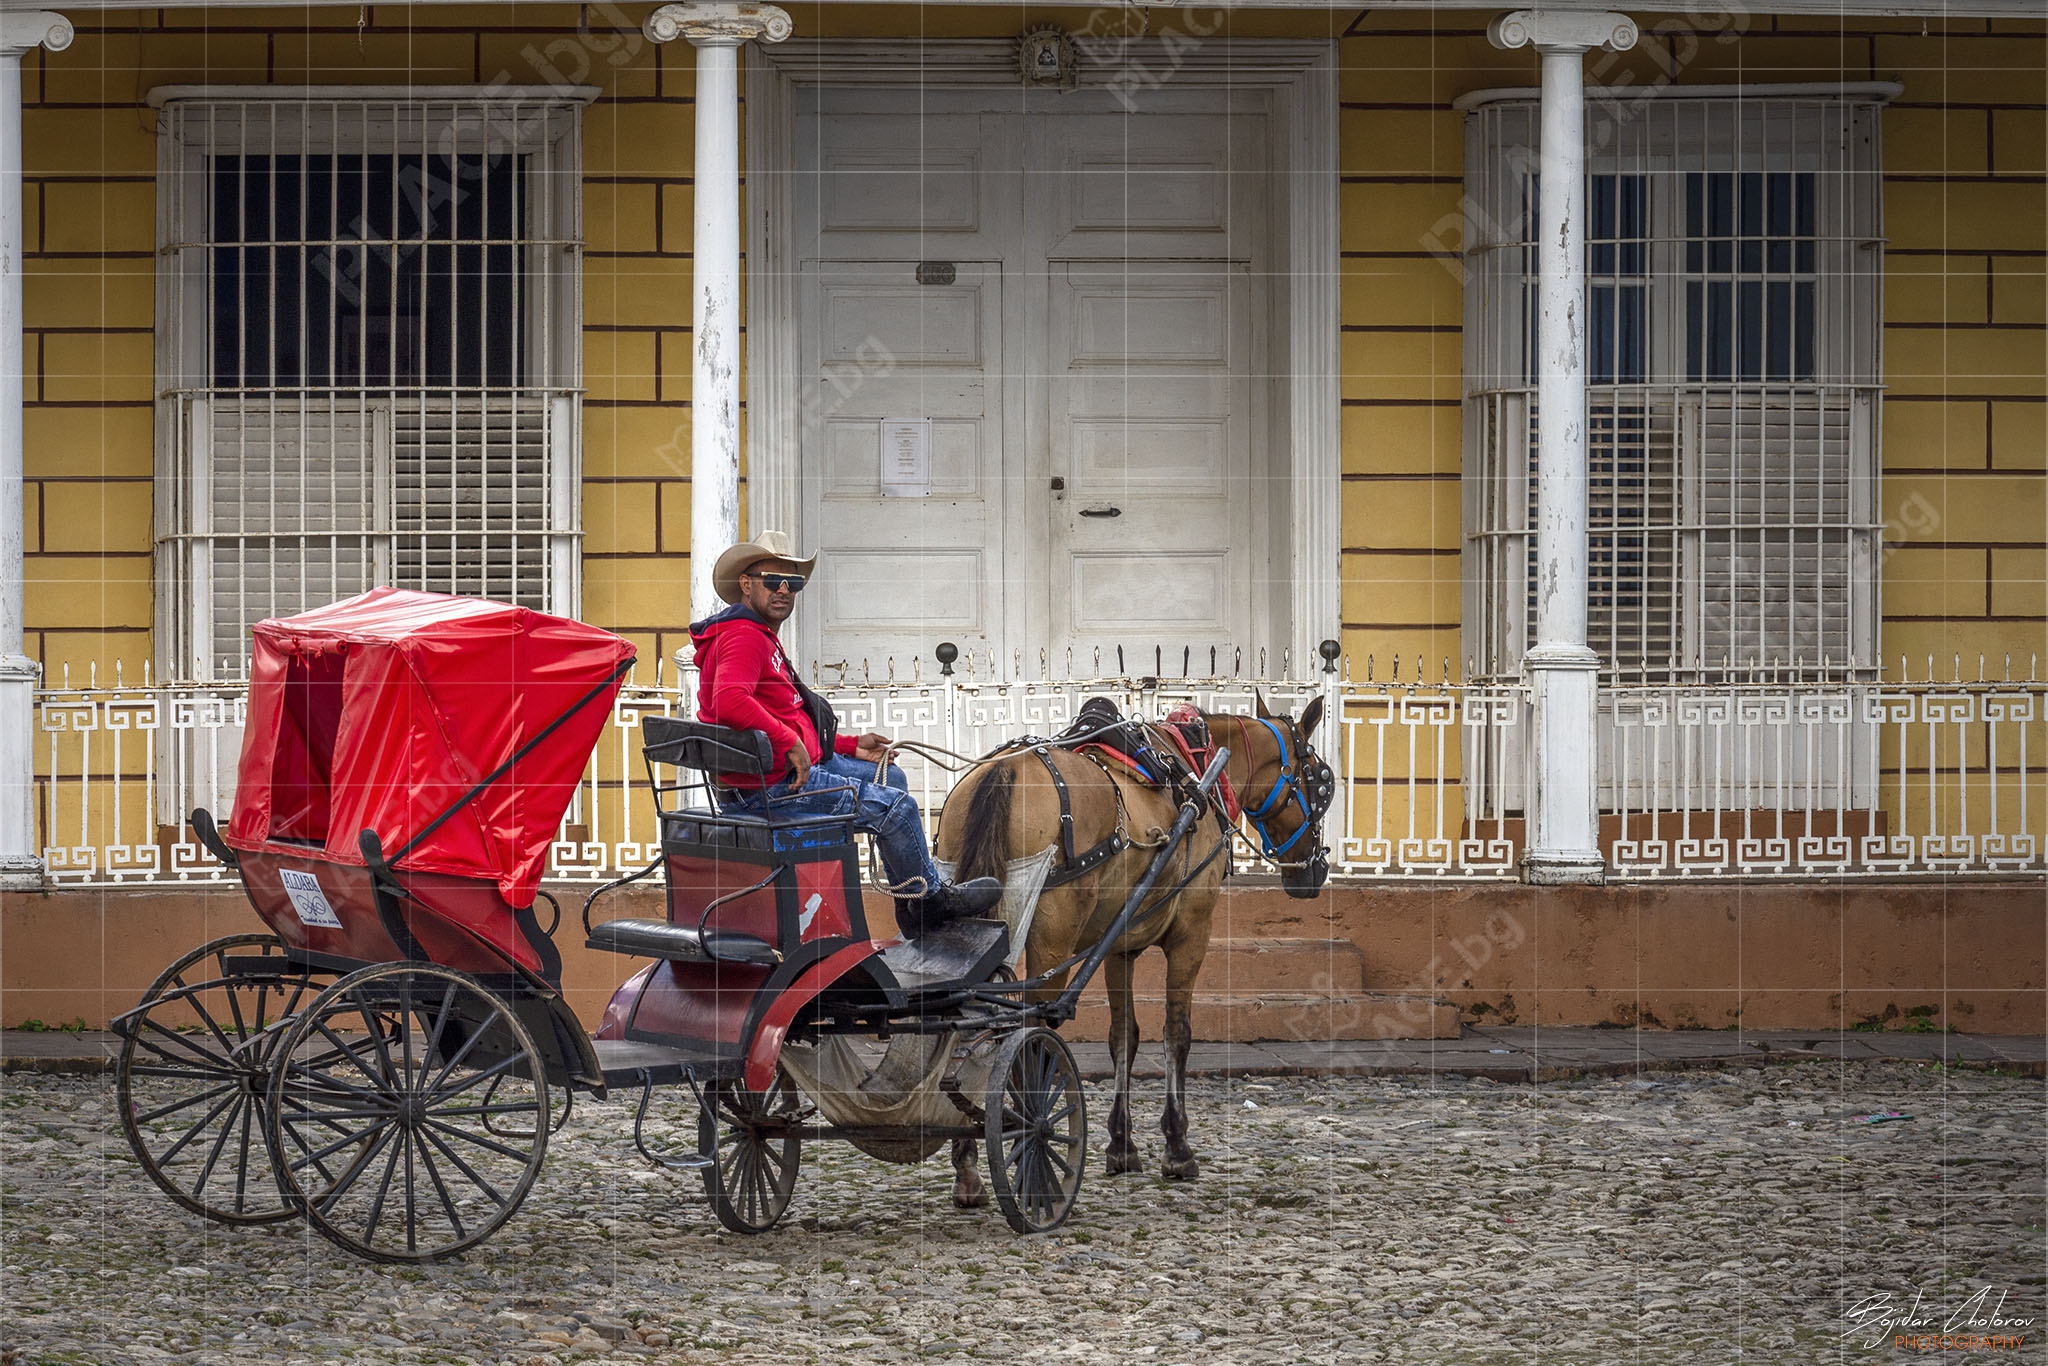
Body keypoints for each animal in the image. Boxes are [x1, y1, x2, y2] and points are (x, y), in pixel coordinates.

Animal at [937, 696, 1335, 1204]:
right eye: (1322, 778)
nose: (1315, 871)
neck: (1197, 765)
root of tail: (1002, 770)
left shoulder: (1118, 948)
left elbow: (1123, 1036)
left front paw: (1121, 1144)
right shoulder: (1192, 932)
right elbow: (1176, 1034)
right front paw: (1177, 1146)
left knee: (967, 1027)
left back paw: (968, 1166)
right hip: (1051, 941)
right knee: (1029, 1036)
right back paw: (1034, 1152)